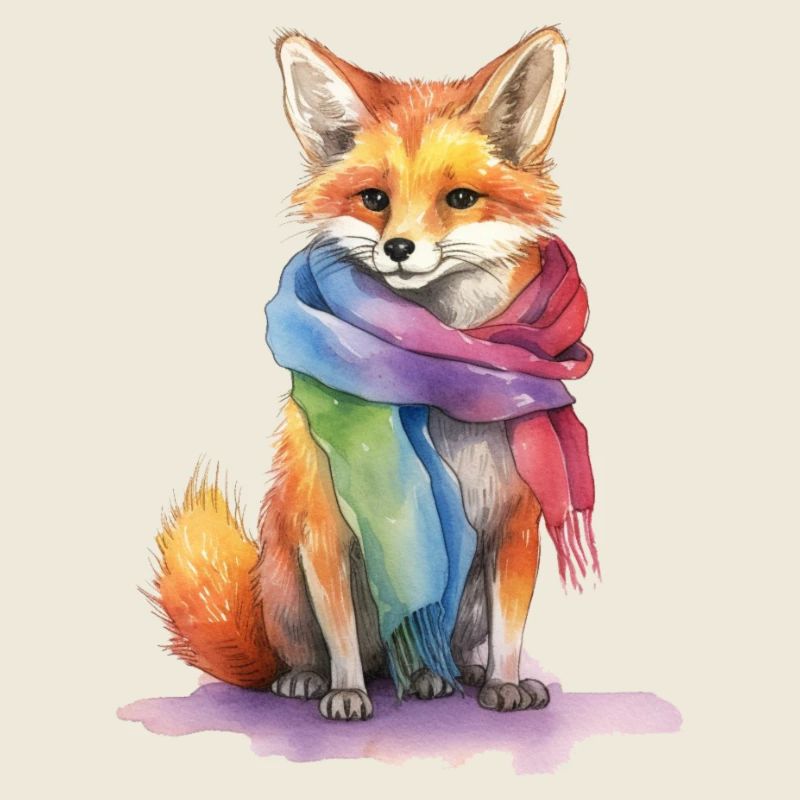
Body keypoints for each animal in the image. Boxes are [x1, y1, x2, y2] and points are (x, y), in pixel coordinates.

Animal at [153, 27, 576, 721]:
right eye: (375, 199)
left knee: (431, 647)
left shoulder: (515, 527)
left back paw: (443, 674)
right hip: (286, 583)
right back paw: (311, 680)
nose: (398, 249)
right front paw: (346, 691)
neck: (435, 381)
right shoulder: (327, 534)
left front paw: (505, 682)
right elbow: (342, 635)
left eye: (460, 199)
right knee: (307, 652)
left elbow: (511, 631)